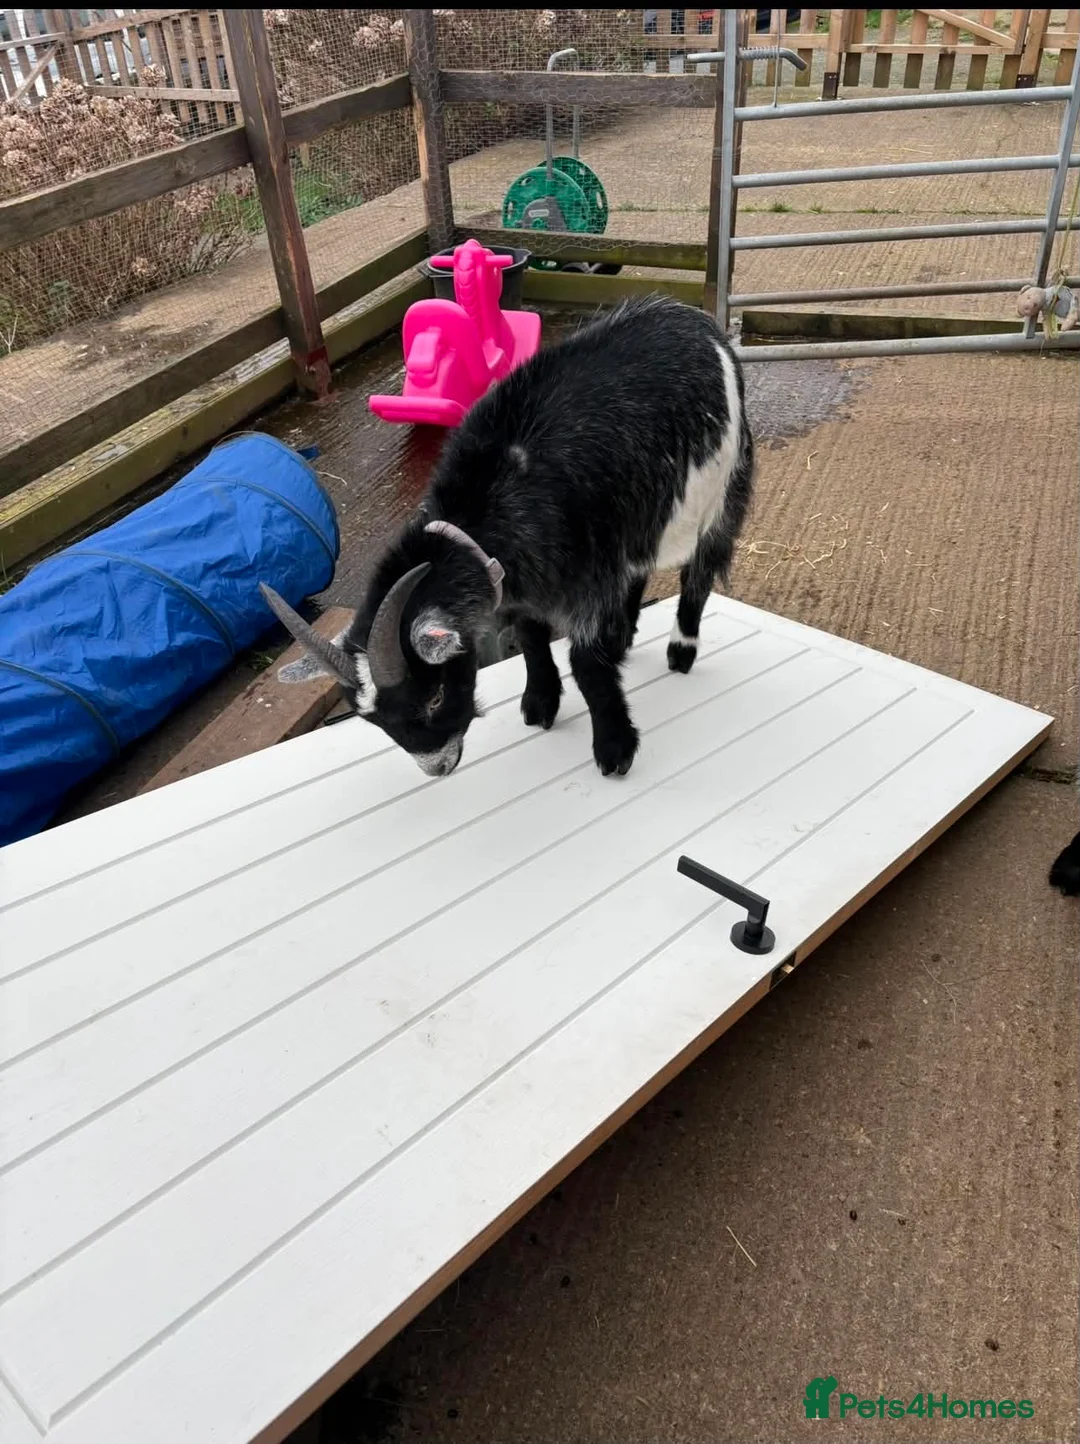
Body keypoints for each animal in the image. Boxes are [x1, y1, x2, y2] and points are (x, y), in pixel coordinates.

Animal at [261, 294, 754, 780]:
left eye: (434, 697)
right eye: (378, 722)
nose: (438, 767)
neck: (494, 500)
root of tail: (695, 320)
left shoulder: (589, 577)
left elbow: (587, 664)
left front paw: (615, 748)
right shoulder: (531, 580)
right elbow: (532, 638)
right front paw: (540, 703)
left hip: (721, 489)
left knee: (700, 571)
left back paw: (681, 649)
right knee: (640, 570)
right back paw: (626, 636)